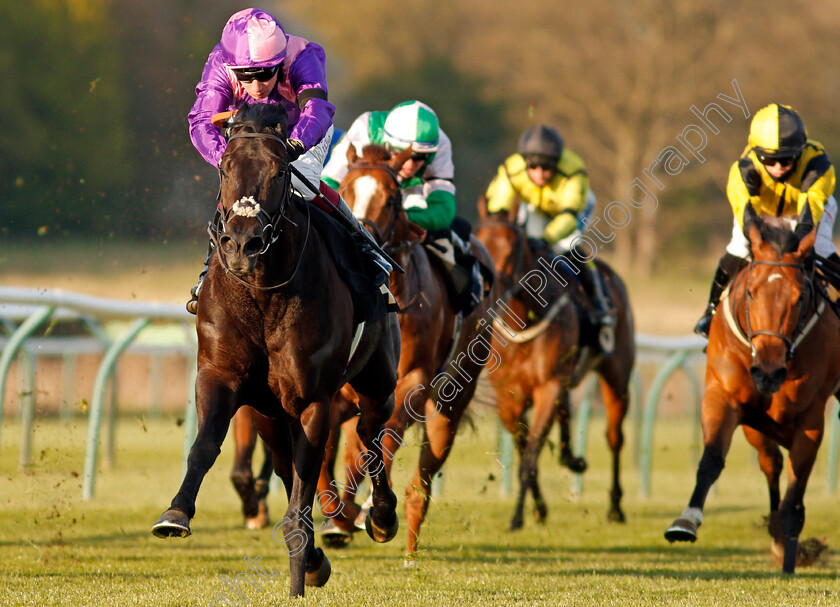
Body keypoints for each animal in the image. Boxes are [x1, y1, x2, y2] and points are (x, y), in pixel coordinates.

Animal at [153, 103, 402, 600]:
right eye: (225, 167)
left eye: (281, 169)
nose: (241, 243)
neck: (261, 291)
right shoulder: (220, 376)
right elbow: (205, 444)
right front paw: (176, 514)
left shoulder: (312, 400)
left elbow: (305, 492)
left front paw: (300, 574)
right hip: (269, 411)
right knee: (289, 462)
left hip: (378, 380)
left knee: (370, 435)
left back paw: (382, 517)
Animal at [318, 145, 496, 564]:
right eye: (344, 189)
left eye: (392, 198)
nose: (361, 237)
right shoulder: (339, 390)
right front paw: (337, 514)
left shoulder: (410, 384)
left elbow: (381, 445)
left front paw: (376, 514)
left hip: (450, 405)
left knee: (420, 482)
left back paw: (407, 542)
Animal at [476, 201, 632, 532]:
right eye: (479, 240)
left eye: (512, 246)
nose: (491, 292)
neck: (524, 318)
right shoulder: (507, 399)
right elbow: (525, 451)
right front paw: (538, 509)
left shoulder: (549, 386)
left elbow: (530, 456)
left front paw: (518, 516)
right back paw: (572, 458)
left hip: (617, 377)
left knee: (614, 437)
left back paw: (615, 507)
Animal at [664, 210, 840, 576]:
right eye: (750, 293)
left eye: (799, 297)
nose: (768, 372)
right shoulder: (724, 396)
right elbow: (712, 459)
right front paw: (686, 521)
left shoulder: (812, 416)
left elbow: (797, 488)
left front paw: (790, 553)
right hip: (755, 425)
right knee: (771, 463)